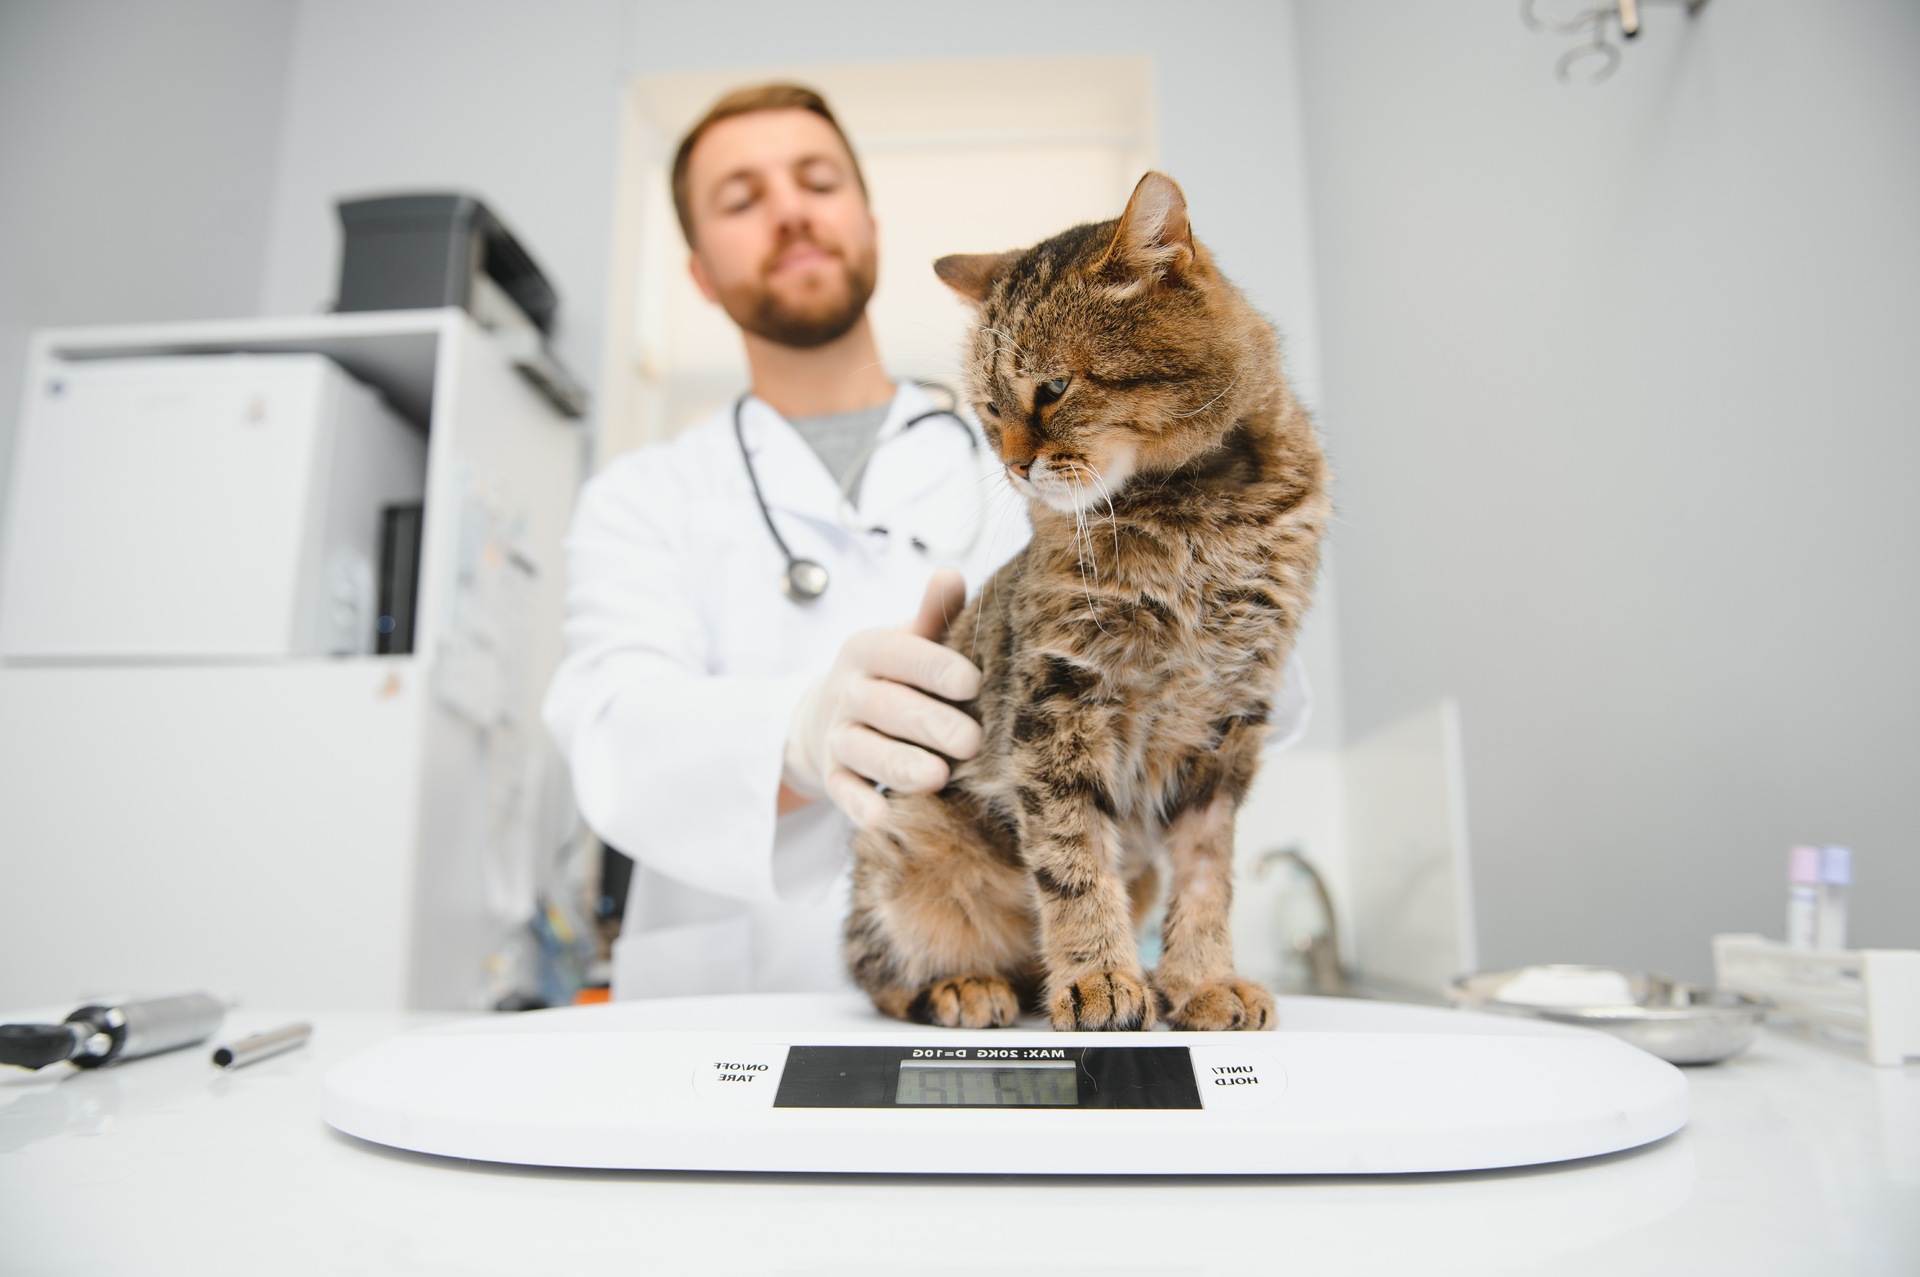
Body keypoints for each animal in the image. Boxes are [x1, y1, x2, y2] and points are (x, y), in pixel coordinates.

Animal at [848, 168, 1328, 1029]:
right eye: (990, 409)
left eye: (1054, 387)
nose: (1014, 466)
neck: (1195, 516)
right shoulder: (1058, 702)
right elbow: (1073, 864)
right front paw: (1098, 976)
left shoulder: (1231, 722)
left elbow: (1206, 877)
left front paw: (1202, 980)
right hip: (898, 843)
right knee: (880, 973)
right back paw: (968, 984)